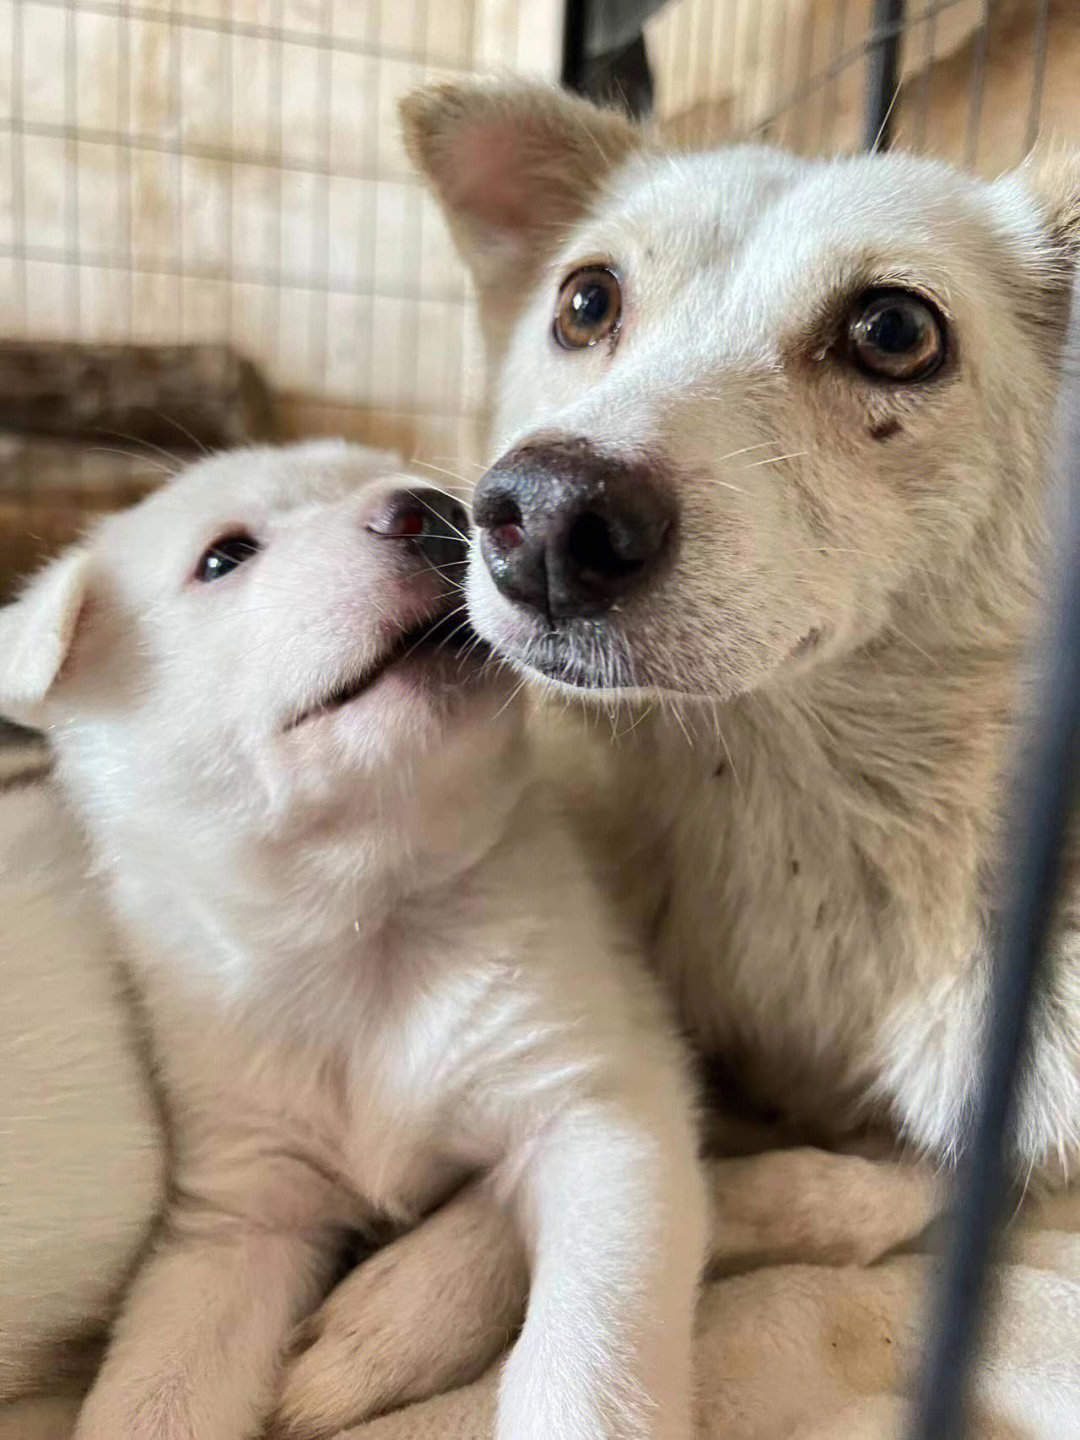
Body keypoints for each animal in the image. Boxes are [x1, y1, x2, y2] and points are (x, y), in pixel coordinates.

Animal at [0, 440, 702, 1440]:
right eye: (223, 556)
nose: (438, 509)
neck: (367, 927)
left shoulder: (597, 1109)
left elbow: (587, 1344)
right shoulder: (238, 1207)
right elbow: (157, 1388)